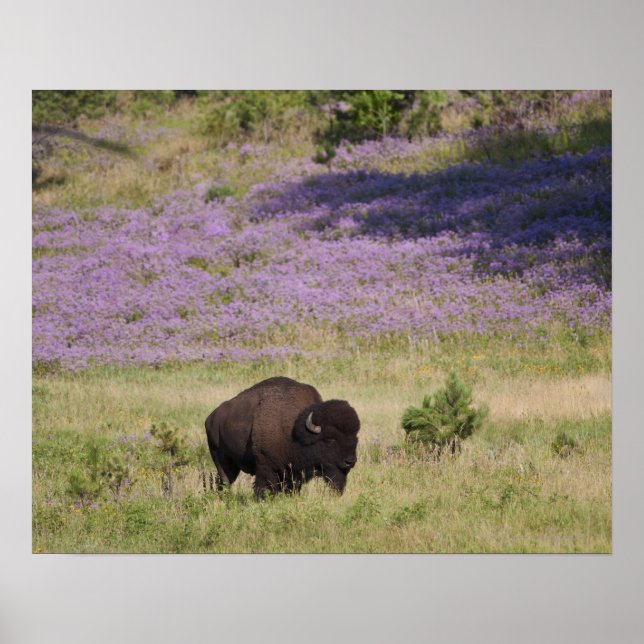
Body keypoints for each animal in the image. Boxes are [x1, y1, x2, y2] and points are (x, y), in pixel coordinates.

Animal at [205, 377, 360, 497]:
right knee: (225, 481)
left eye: (355, 438)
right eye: (328, 439)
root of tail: (211, 418)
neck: (295, 430)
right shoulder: (266, 467)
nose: (350, 461)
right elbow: (263, 488)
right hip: (220, 459)